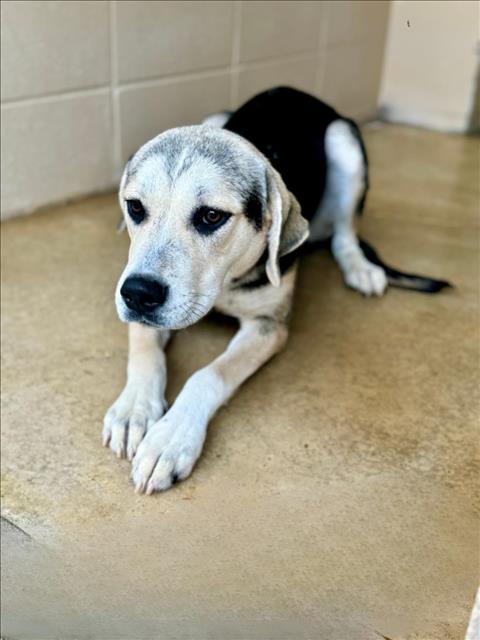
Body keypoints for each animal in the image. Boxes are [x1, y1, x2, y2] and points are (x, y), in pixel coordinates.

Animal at [102, 86, 450, 496]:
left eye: (211, 216)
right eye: (135, 207)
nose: (138, 295)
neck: (227, 280)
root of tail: (293, 90)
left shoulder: (268, 326)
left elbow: (209, 374)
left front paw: (170, 437)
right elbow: (145, 352)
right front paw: (135, 409)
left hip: (344, 140)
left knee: (345, 233)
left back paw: (361, 268)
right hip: (215, 116)